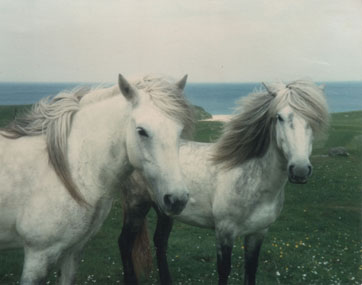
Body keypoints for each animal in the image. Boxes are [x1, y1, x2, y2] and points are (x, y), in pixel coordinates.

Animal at [0, 74, 195, 284]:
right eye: (142, 131)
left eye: (179, 131)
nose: (177, 199)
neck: (67, 171)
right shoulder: (38, 256)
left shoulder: (73, 251)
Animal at [118, 79, 328, 284]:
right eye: (279, 117)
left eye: (315, 120)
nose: (300, 170)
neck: (254, 180)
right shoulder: (225, 232)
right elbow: (224, 271)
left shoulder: (258, 233)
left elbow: (251, 270)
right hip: (137, 206)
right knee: (125, 243)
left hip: (166, 209)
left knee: (160, 242)